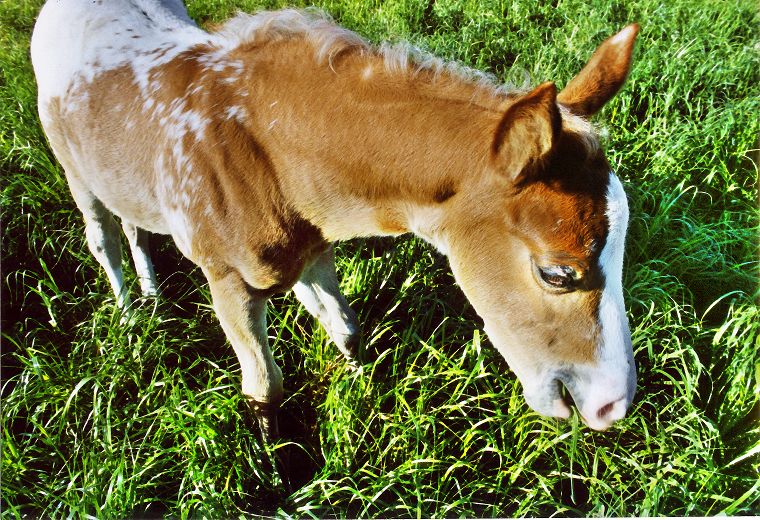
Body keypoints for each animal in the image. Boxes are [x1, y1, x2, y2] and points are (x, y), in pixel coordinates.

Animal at [32, 1, 640, 438]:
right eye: (556, 274)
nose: (614, 405)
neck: (272, 157)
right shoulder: (227, 280)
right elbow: (265, 386)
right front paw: (281, 469)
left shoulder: (313, 250)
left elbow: (347, 331)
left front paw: (366, 396)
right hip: (76, 172)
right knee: (104, 237)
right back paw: (132, 316)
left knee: (135, 226)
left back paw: (152, 295)